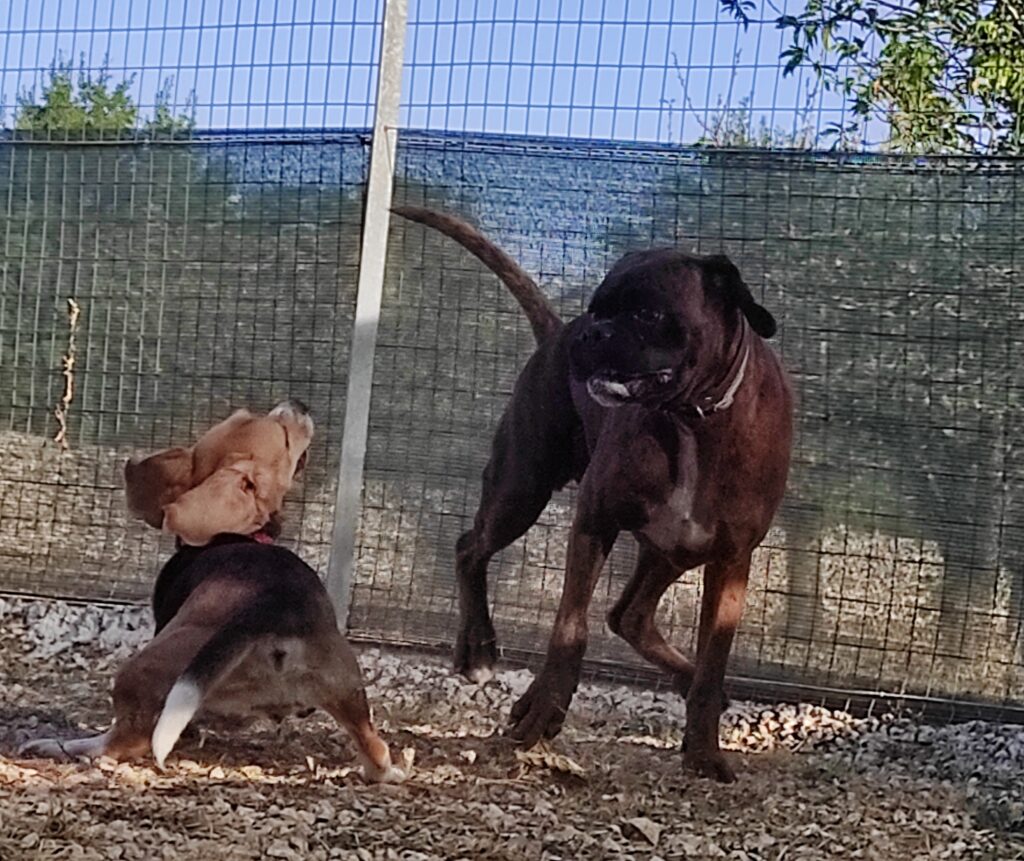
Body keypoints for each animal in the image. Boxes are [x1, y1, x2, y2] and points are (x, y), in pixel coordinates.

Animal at [19, 530, 406, 783]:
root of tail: (275, 605)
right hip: (346, 687)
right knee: (374, 745)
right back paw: (387, 774)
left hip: (143, 668)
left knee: (126, 741)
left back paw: (60, 746)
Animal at [392, 206, 793, 782]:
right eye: (598, 308)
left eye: (648, 313)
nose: (590, 332)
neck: (691, 421)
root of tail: (552, 335)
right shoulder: (593, 524)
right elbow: (569, 630)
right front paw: (541, 715)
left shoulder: (731, 560)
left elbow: (713, 660)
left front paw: (703, 749)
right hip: (521, 489)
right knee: (470, 547)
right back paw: (479, 652)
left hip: (672, 551)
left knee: (629, 615)